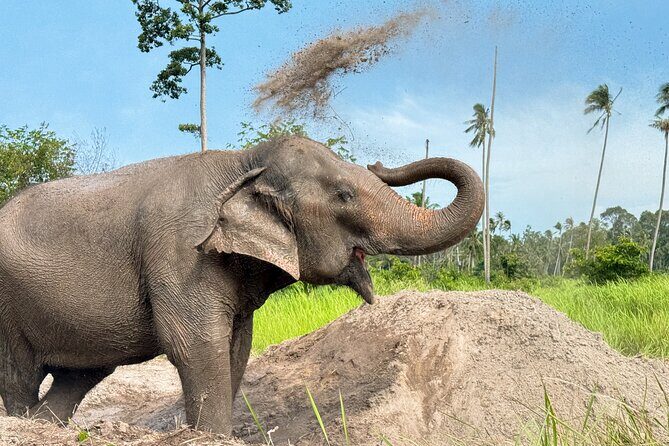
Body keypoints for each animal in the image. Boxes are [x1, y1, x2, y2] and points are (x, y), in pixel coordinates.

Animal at [0, 136, 483, 434]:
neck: (244, 163)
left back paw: (42, 426)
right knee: (19, 377)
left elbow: (237, 345)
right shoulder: (183, 254)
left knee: (79, 375)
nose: (378, 161)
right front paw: (210, 434)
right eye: (344, 196)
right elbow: (194, 343)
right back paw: (23, 422)